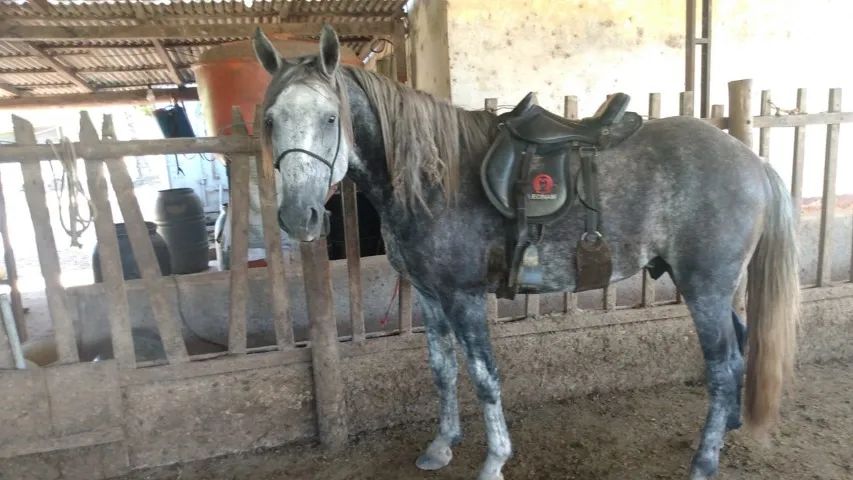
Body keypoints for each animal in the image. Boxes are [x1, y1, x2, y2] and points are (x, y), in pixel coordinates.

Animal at [252, 25, 799, 480]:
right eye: (271, 120)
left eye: (330, 117)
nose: (299, 217)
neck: (433, 179)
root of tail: (751, 160)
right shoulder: (430, 296)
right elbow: (443, 370)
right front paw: (441, 446)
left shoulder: (465, 297)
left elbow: (484, 376)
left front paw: (494, 460)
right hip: (711, 287)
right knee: (739, 348)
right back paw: (725, 432)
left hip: (705, 287)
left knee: (723, 367)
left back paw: (704, 462)